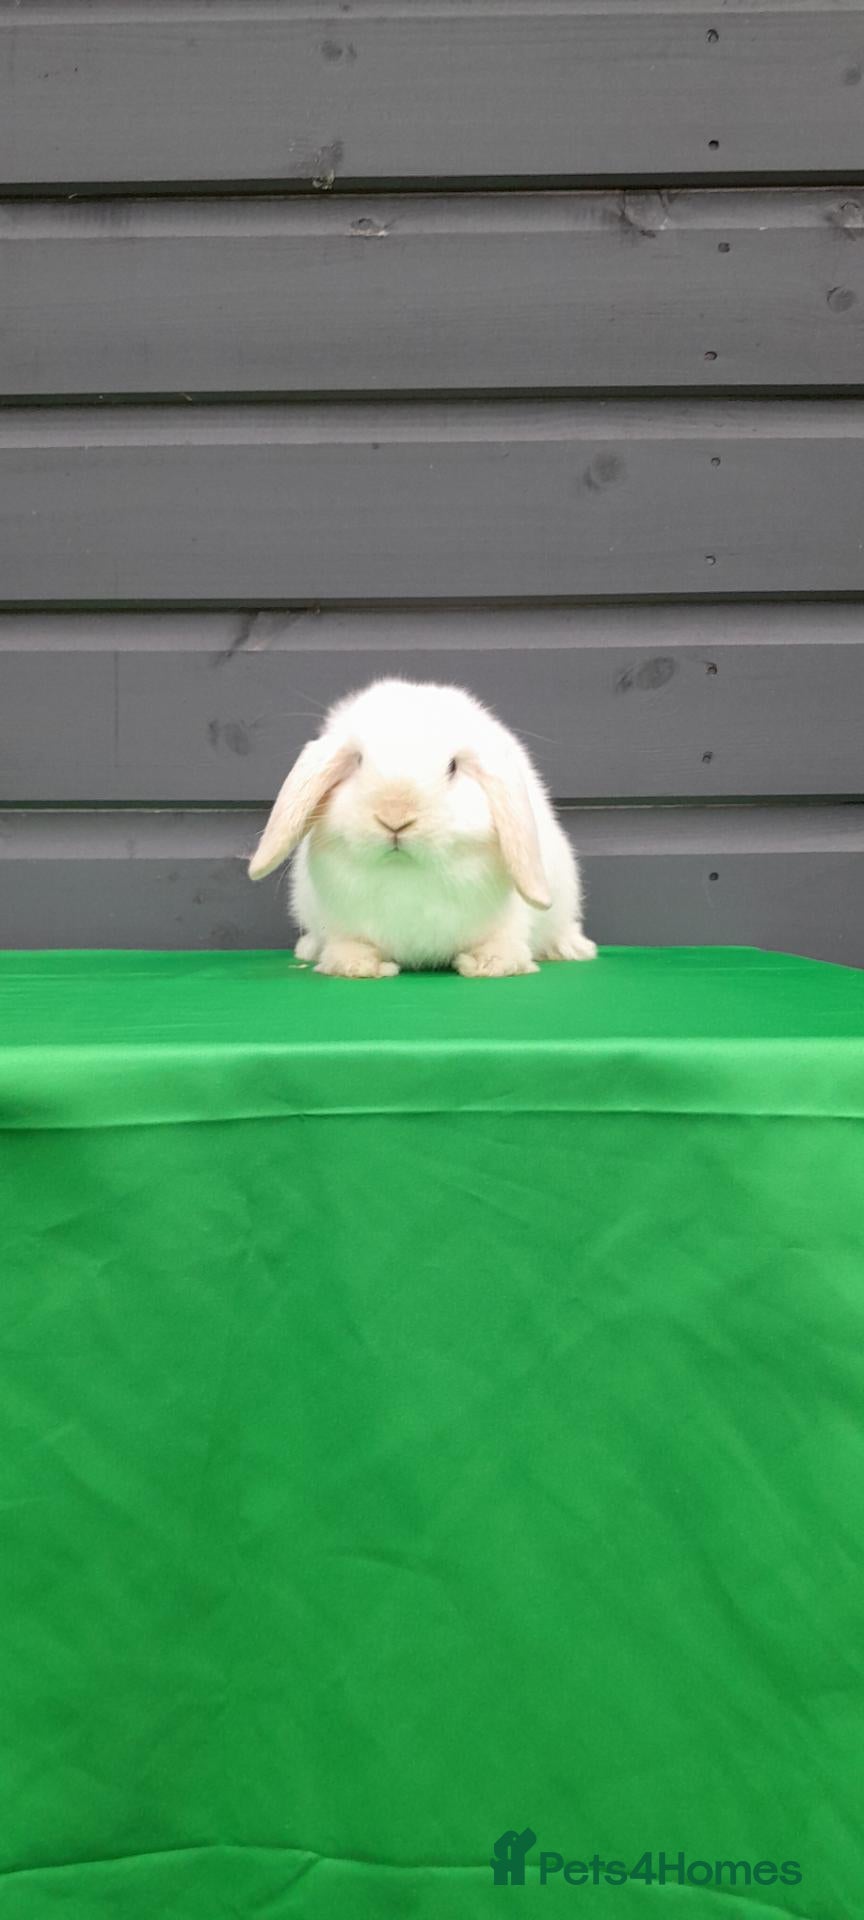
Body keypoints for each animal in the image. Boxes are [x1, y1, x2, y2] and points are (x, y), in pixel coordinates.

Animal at [248, 677, 597, 979]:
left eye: (453, 767)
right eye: (358, 761)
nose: (395, 817)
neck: (407, 874)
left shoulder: (509, 921)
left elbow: (503, 942)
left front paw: (490, 964)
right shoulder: (340, 921)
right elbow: (350, 944)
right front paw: (356, 966)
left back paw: (571, 947)